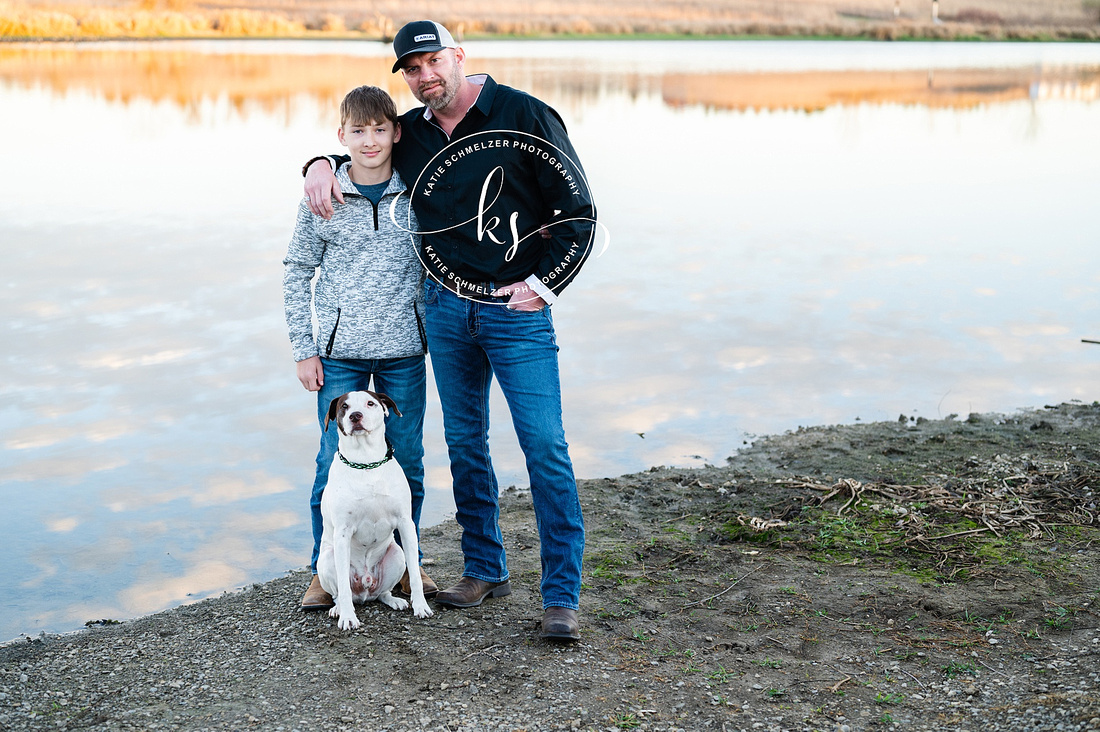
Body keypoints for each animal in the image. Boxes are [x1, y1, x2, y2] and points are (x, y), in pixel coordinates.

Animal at [316, 387, 431, 629]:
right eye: (344, 407)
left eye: (370, 403)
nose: (355, 416)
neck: (366, 463)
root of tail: (365, 588)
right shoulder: (342, 532)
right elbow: (343, 584)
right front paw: (348, 618)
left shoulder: (406, 523)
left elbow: (415, 575)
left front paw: (421, 606)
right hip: (328, 558)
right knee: (339, 593)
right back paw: (339, 609)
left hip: (397, 554)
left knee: (382, 593)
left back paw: (394, 600)